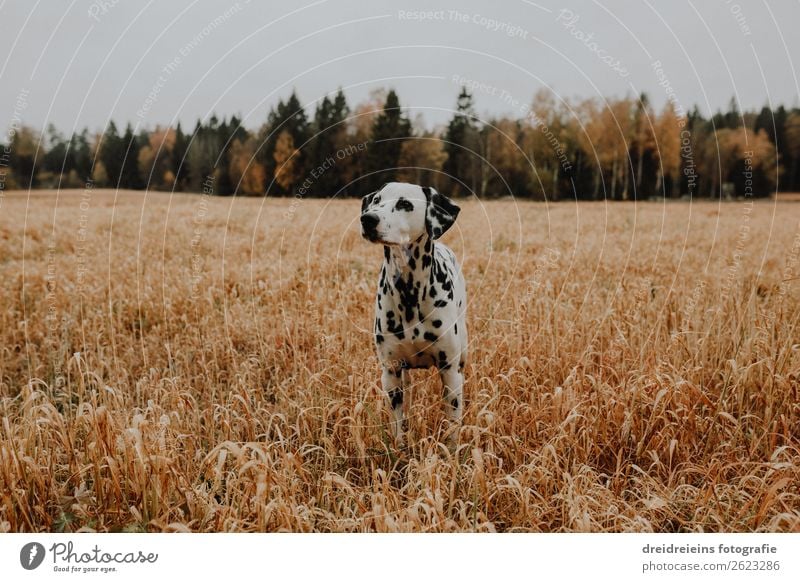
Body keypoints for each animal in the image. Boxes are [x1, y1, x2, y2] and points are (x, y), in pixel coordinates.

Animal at [360, 182, 466, 448]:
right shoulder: (390, 372)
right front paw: (400, 450)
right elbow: (398, 425)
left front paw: (453, 454)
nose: (368, 219)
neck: (409, 292)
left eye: (405, 204)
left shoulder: (450, 372)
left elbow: (452, 427)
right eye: (376, 200)